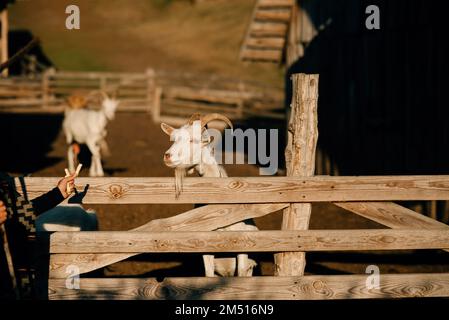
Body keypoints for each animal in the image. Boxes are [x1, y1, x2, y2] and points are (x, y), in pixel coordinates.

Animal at [161, 114, 260, 276]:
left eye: (193, 140)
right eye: (173, 139)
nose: (167, 156)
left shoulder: (243, 248)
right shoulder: (206, 248)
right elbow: (208, 274)